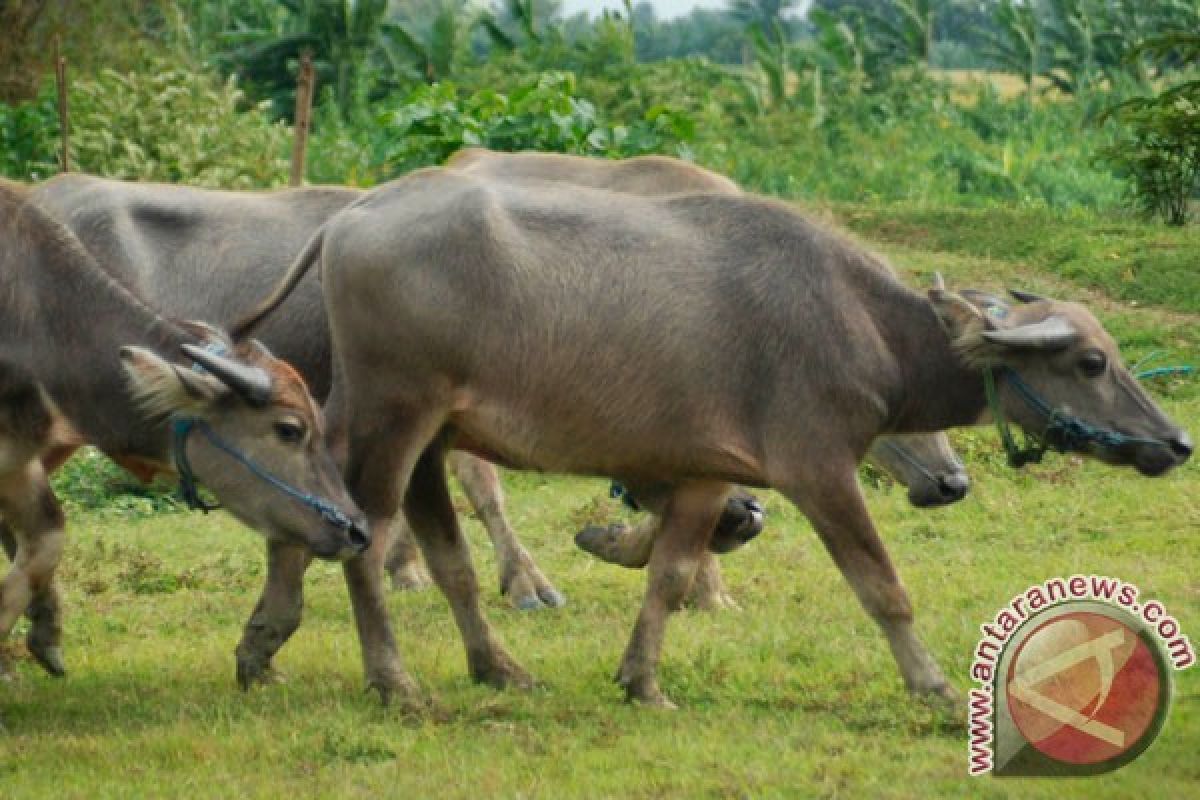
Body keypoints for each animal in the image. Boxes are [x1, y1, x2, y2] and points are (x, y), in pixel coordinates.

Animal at [231, 163, 1190, 705]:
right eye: (1093, 362)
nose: (1177, 443)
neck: (862, 323)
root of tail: (353, 215)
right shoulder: (817, 468)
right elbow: (882, 586)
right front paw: (932, 685)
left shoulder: (701, 472)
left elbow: (667, 576)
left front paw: (642, 681)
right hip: (394, 413)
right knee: (358, 531)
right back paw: (389, 679)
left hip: (426, 426)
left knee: (424, 547)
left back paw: (469, 665)